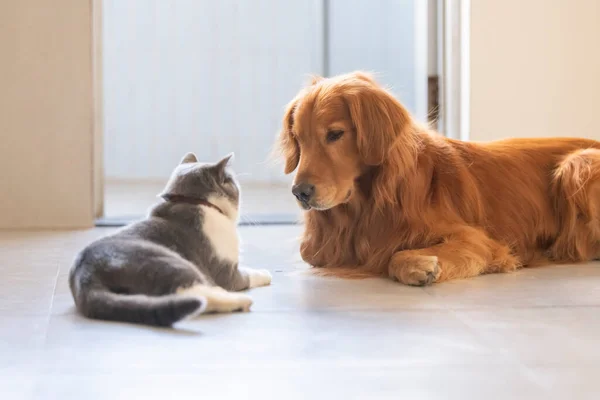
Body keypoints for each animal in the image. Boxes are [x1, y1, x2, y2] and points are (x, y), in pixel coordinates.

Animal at [68, 152, 272, 326]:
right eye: (232, 182)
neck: (194, 202)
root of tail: (85, 273)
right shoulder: (227, 273)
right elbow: (247, 274)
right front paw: (265, 274)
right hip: (169, 261)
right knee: (192, 293)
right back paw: (240, 300)